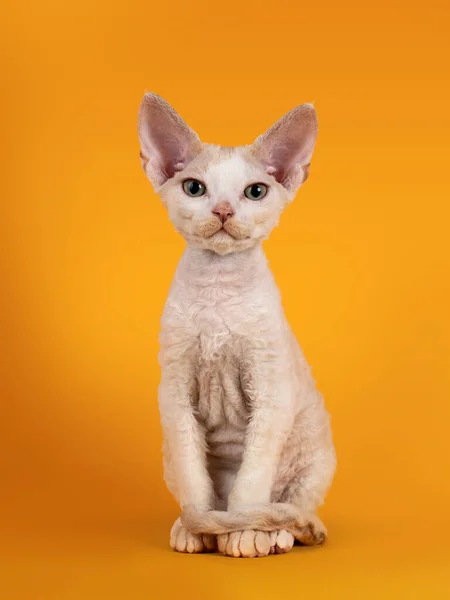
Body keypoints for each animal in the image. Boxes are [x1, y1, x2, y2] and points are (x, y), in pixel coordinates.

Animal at [139, 94, 336, 556]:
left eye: (255, 192)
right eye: (194, 188)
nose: (224, 210)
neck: (218, 290)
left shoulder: (271, 389)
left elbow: (252, 484)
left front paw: (243, 531)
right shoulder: (174, 393)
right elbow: (194, 479)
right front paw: (199, 527)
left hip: (316, 455)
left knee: (292, 506)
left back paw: (273, 530)